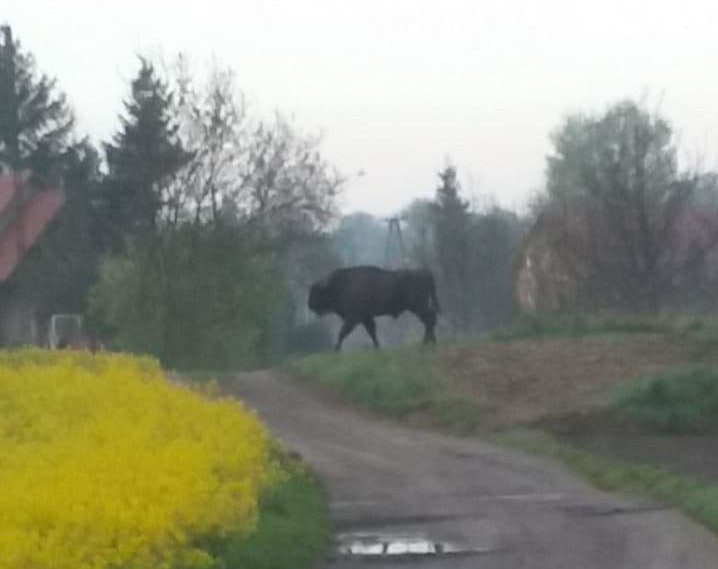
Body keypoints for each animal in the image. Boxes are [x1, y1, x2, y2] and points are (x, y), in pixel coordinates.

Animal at [308, 266, 438, 350]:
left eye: (316, 291)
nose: (309, 305)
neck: (340, 285)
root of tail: (426, 273)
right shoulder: (366, 318)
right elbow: (372, 332)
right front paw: (377, 347)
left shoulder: (353, 318)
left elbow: (343, 332)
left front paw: (336, 350)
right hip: (418, 307)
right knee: (430, 318)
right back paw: (431, 342)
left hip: (417, 306)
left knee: (429, 318)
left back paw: (426, 342)